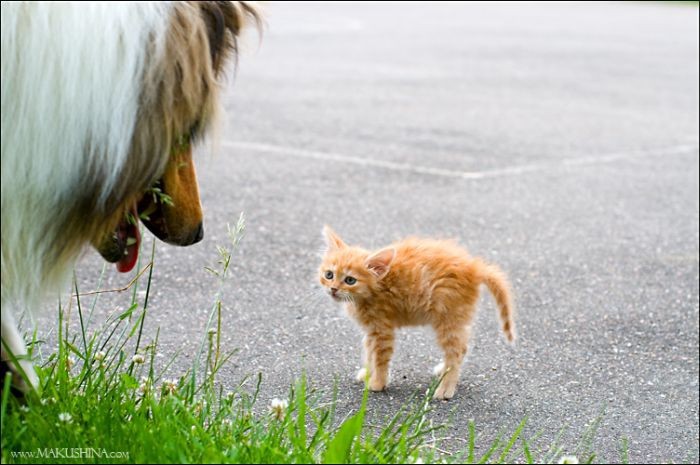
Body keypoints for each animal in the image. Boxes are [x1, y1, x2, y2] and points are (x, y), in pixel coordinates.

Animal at [318, 225, 516, 398]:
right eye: (329, 275)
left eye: (350, 280)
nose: (333, 289)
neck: (374, 289)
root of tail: (474, 267)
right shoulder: (371, 331)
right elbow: (369, 353)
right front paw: (367, 373)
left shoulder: (382, 330)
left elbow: (380, 357)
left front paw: (377, 383)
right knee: (463, 347)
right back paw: (443, 371)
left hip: (448, 319)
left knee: (456, 351)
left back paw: (446, 389)